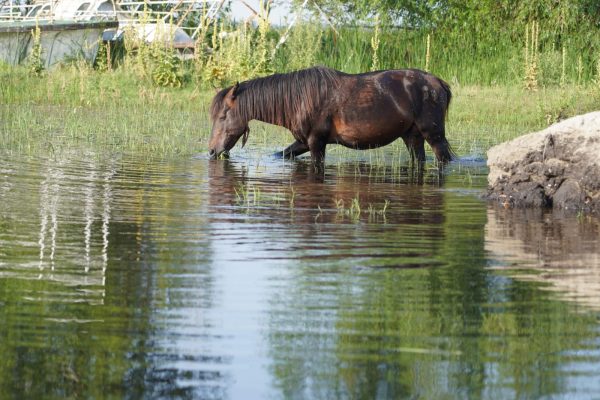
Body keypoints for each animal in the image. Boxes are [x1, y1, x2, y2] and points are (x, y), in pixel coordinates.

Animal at [209, 66, 452, 165]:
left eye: (222, 117)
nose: (212, 151)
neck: (298, 99)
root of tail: (438, 82)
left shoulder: (316, 142)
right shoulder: (302, 142)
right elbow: (282, 155)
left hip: (434, 135)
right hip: (412, 137)